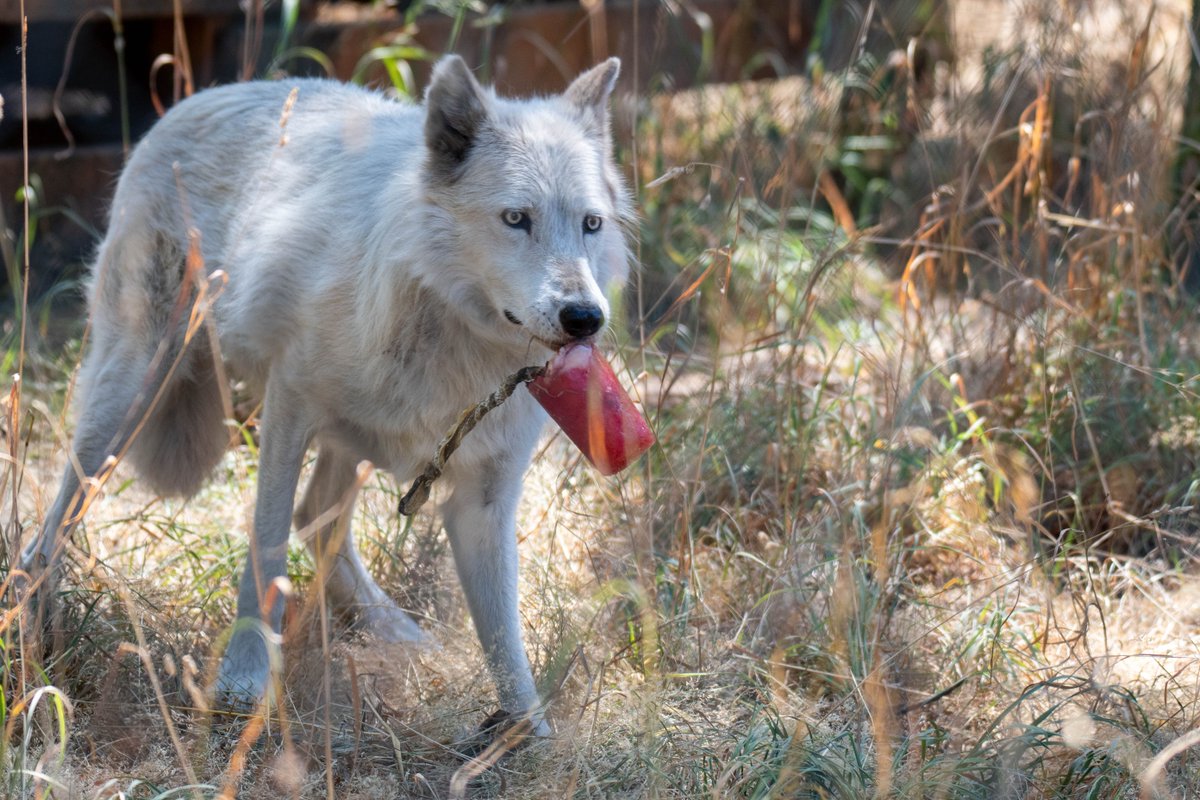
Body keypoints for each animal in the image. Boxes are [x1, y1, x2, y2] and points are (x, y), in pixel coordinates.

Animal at [19, 55, 632, 735]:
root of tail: (199, 98)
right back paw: (35, 637)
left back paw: (396, 632)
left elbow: (504, 632)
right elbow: (265, 549)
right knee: (50, 528)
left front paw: (529, 735)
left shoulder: (485, 498)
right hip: (130, 396)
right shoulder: (289, 406)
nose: (585, 317)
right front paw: (243, 682)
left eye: (591, 224)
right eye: (516, 218)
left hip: (351, 441)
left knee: (316, 517)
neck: (451, 336)